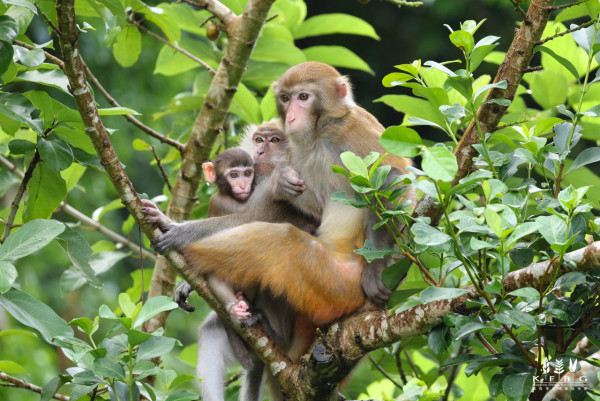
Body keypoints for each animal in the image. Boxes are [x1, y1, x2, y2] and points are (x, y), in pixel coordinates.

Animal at [148, 60, 414, 328]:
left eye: (304, 97)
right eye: (286, 98)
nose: (292, 117)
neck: (321, 132)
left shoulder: (350, 130)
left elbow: (391, 178)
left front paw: (376, 268)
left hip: (335, 280)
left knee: (278, 238)